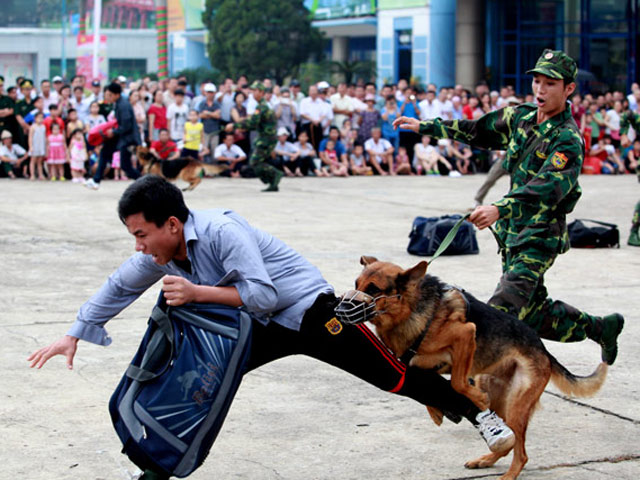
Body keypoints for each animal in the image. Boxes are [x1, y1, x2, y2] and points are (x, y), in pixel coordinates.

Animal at [336, 256, 608, 480]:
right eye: (357, 284)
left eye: (374, 289)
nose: (338, 310)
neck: (411, 310)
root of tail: (543, 350)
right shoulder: (415, 363)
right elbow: (430, 383)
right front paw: (438, 411)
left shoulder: (466, 334)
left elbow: (457, 381)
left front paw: (472, 398)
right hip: (498, 395)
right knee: (509, 441)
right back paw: (486, 459)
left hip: (517, 405)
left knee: (521, 453)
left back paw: (508, 474)